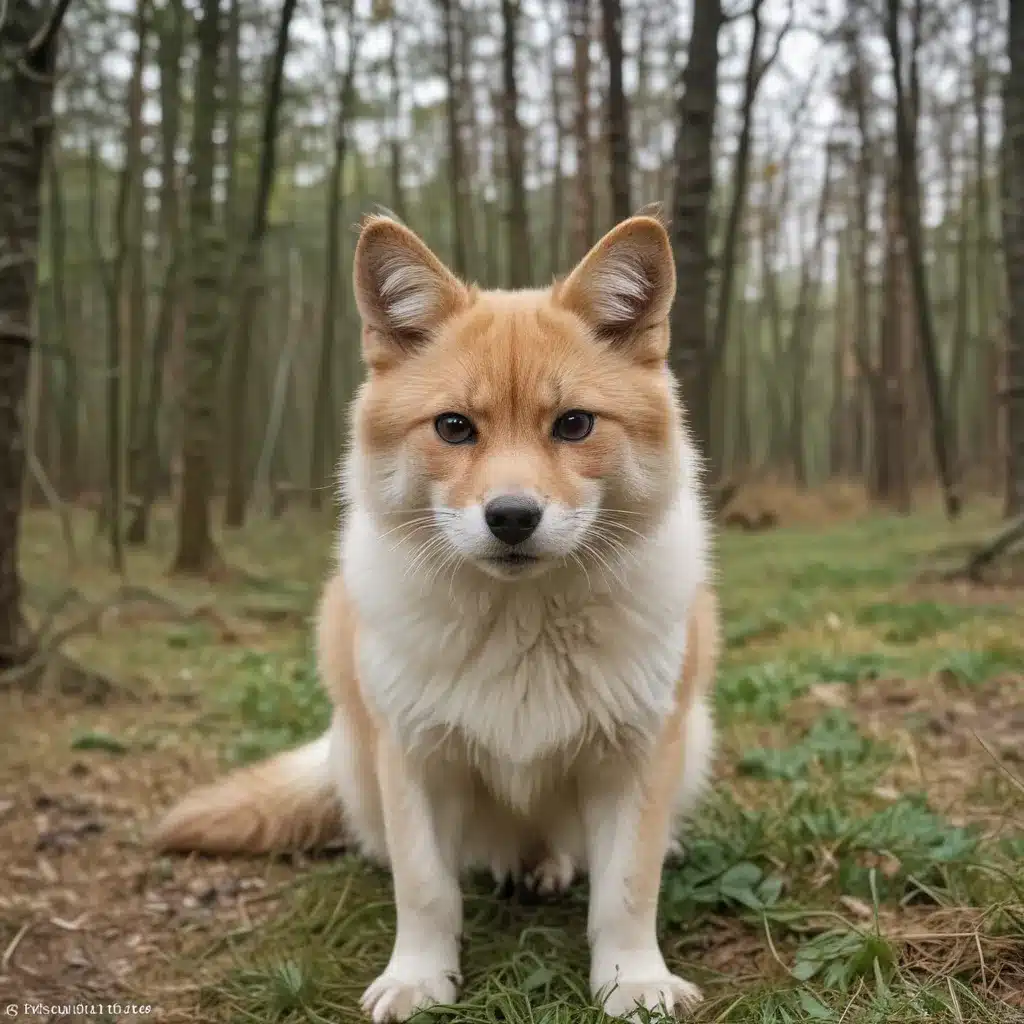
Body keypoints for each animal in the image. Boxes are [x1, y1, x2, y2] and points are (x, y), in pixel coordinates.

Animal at [155, 211, 724, 1019]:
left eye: (574, 425)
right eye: (454, 427)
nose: (512, 517)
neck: (520, 629)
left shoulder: (635, 757)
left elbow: (625, 891)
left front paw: (633, 982)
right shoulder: (417, 756)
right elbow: (425, 889)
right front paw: (419, 980)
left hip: (693, 732)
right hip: (358, 754)